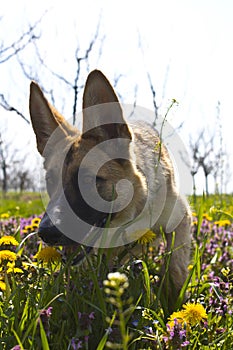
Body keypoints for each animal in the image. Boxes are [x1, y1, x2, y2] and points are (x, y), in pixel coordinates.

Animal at [29, 69, 191, 310]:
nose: (46, 233)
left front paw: (173, 307)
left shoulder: (181, 219)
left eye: (87, 179)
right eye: (50, 180)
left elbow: (175, 269)